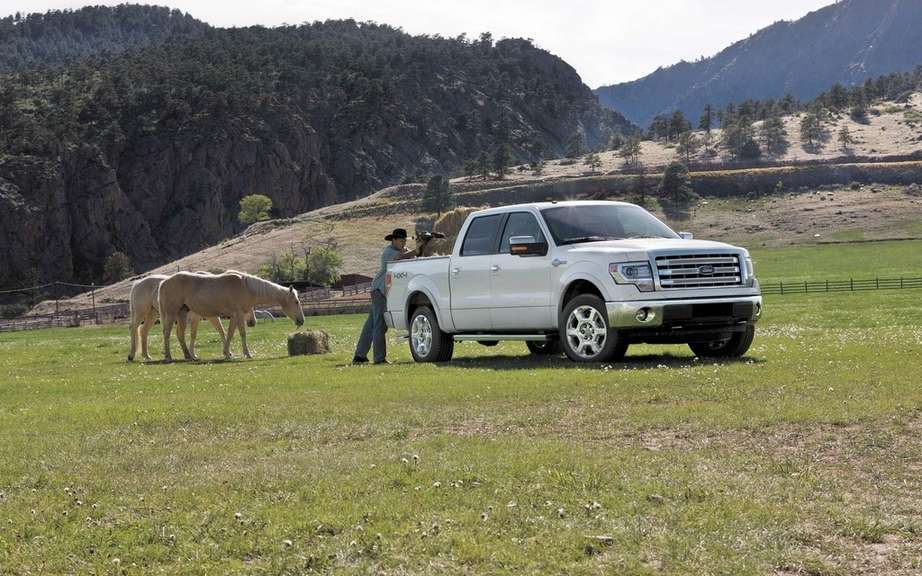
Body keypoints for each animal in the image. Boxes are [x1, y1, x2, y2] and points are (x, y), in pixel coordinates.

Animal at [126, 274, 255, 360]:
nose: (252, 323)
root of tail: (137, 284)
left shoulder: (210, 316)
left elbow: (221, 331)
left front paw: (227, 352)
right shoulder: (199, 317)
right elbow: (195, 334)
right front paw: (194, 353)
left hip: (152, 314)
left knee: (143, 331)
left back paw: (146, 355)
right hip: (141, 313)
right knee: (133, 329)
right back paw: (131, 355)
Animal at [157, 272, 302, 360]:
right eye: (296, 301)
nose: (301, 320)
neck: (246, 287)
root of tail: (163, 283)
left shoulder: (234, 316)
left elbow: (229, 334)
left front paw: (227, 353)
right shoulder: (238, 314)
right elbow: (242, 334)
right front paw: (247, 354)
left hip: (182, 313)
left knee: (180, 335)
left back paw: (189, 356)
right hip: (171, 315)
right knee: (166, 334)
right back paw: (169, 356)